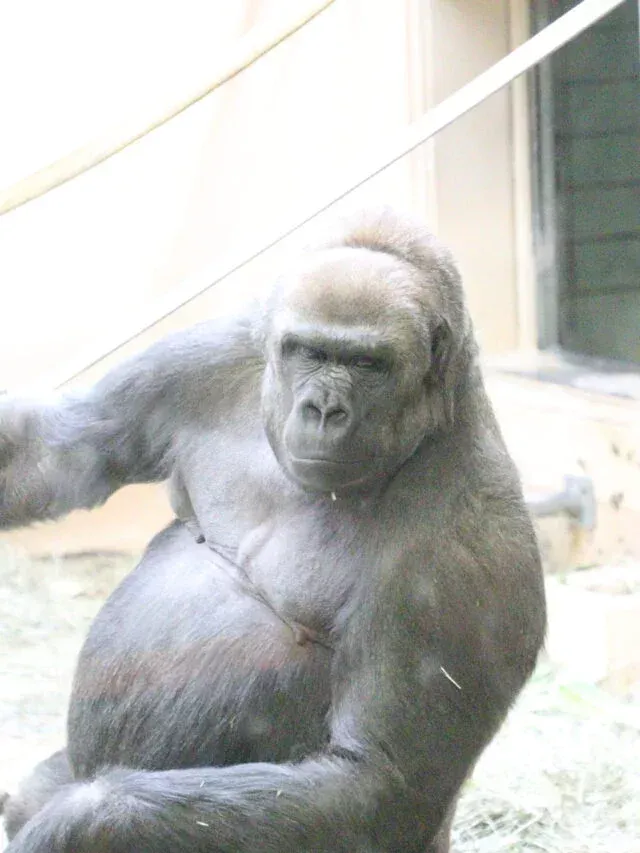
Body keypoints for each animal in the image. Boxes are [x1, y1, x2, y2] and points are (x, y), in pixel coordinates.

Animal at [0, 210, 544, 852]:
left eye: (369, 364)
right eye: (308, 351)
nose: (323, 409)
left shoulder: (470, 547)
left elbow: (376, 782)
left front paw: (79, 823)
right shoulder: (212, 353)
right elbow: (56, 452)